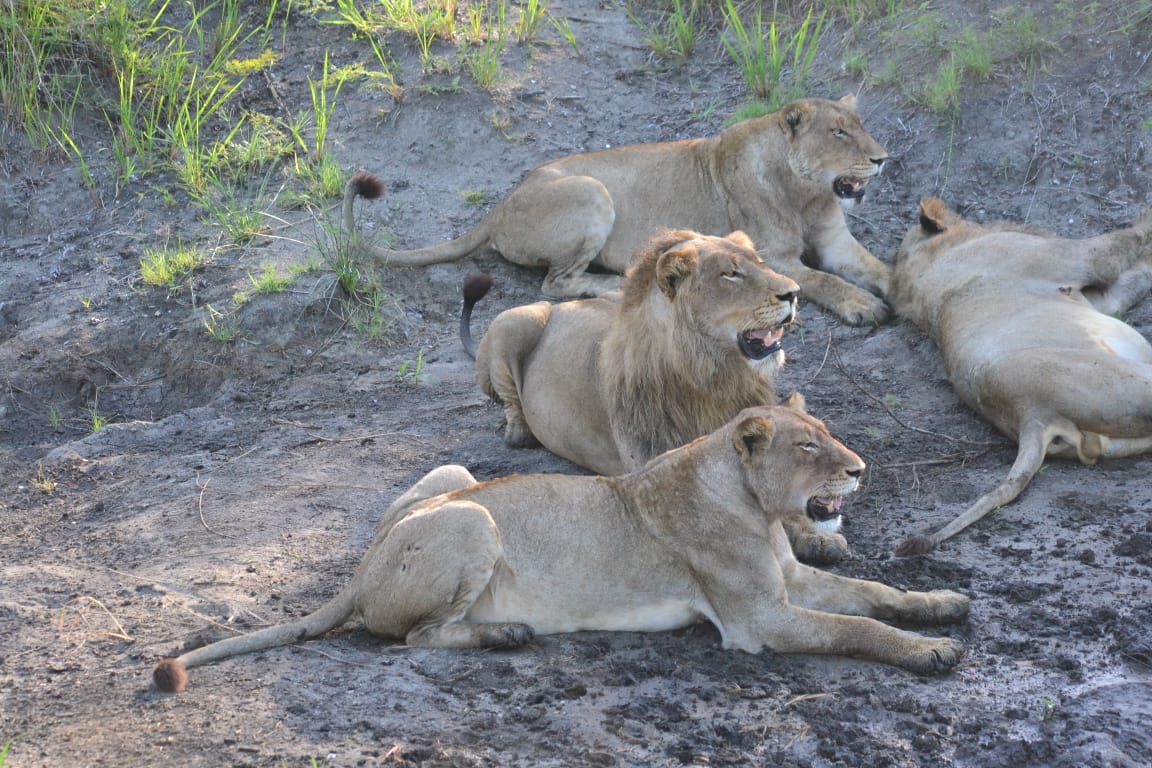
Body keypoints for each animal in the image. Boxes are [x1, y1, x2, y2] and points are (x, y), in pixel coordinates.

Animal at [152, 401, 970, 693]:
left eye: (828, 433)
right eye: (808, 447)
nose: (860, 468)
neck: (754, 506)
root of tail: (362, 565)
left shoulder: (792, 584)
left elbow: (877, 595)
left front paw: (943, 604)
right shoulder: (757, 623)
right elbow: (857, 628)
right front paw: (932, 652)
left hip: (455, 476)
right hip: (471, 522)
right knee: (415, 638)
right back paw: (507, 634)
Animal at [344, 95, 892, 325]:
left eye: (862, 127)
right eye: (838, 133)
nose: (882, 158)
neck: (809, 192)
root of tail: (498, 208)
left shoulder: (835, 240)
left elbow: (876, 267)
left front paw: (898, 288)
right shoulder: (772, 256)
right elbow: (822, 281)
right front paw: (864, 306)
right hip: (591, 192)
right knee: (556, 284)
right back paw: (614, 284)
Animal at [463, 229, 848, 564]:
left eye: (761, 263)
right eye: (731, 274)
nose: (794, 292)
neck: (712, 379)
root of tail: (562, 306)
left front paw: (817, 535)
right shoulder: (661, 468)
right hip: (514, 319)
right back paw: (519, 432)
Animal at [889, 197, 1152, 556]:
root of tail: (1029, 415)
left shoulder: (1101, 299)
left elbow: (1140, 277)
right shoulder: (1084, 257)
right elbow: (1134, 237)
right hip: (1130, 382)